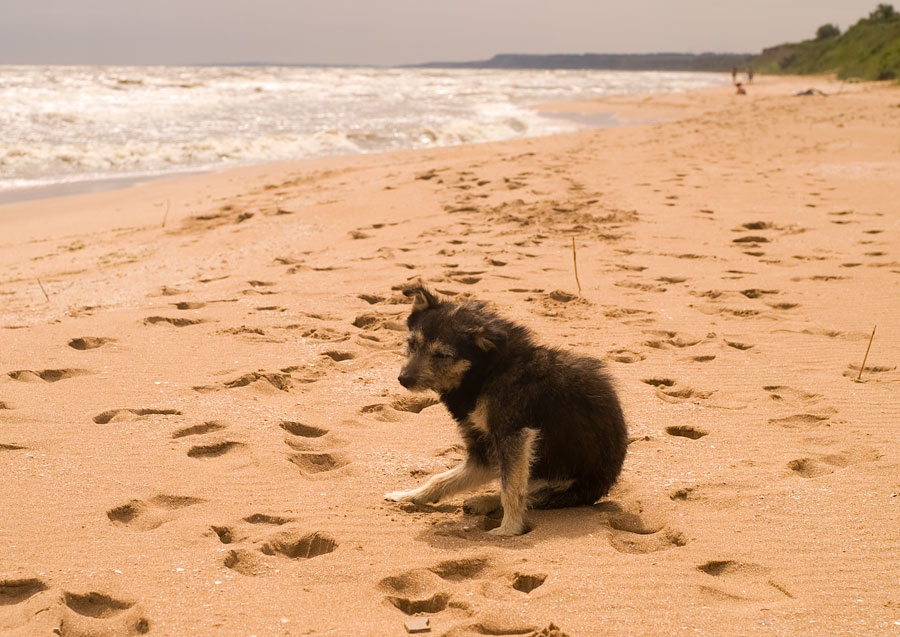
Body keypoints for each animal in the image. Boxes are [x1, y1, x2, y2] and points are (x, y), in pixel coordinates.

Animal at [384, 280, 624, 536]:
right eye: (412, 343)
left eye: (442, 355)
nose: (403, 379)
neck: (487, 372)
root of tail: (604, 486)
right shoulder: (484, 450)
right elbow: (440, 479)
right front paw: (410, 496)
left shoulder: (514, 436)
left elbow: (511, 491)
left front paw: (508, 530)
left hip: (562, 484)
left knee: (530, 493)